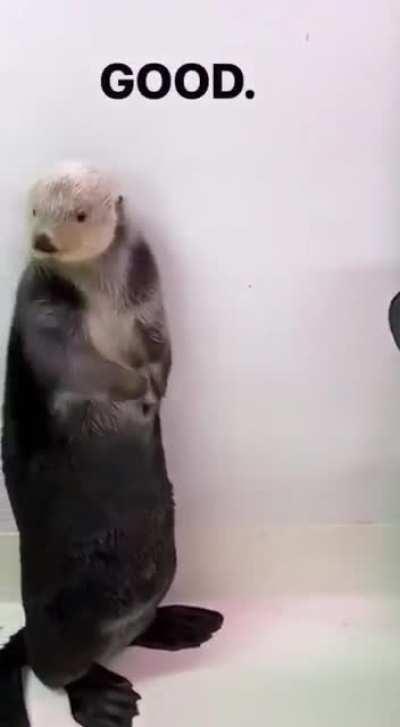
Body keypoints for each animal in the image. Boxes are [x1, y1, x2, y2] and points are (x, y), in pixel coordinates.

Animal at [0, 163, 223, 727]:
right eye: (35, 209)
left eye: (79, 214)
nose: (43, 240)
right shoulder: (42, 310)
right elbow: (79, 362)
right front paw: (137, 389)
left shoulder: (147, 295)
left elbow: (160, 341)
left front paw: (156, 383)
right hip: (63, 622)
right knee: (56, 673)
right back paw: (103, 698)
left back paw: (181, 624)